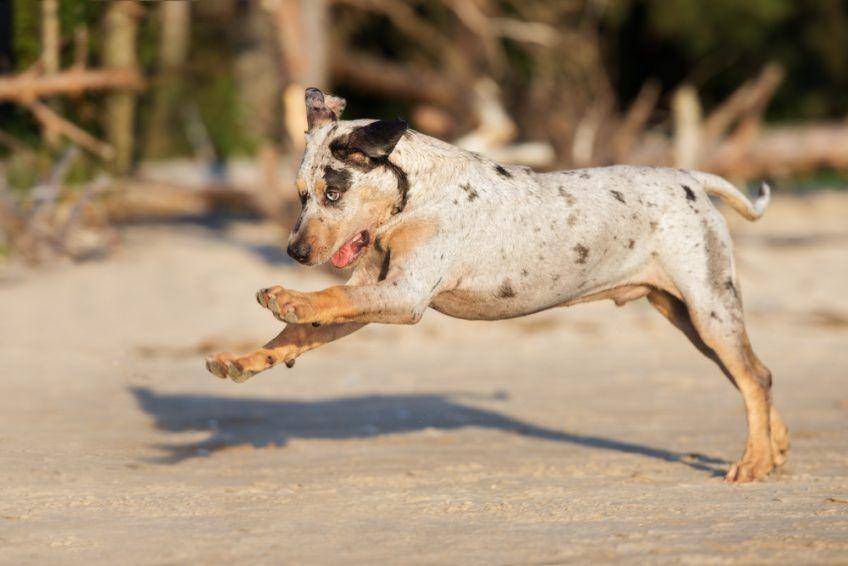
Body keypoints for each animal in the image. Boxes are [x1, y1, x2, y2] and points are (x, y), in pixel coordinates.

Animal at [207, 87, 788, 484]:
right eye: (300, 194)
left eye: (333, 192)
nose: (295, 253)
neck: (414, 198)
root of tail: (689, 177)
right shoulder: (375, 293)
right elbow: (300, 332)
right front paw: (242, 360)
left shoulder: (403, 296)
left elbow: (328, 298)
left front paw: (287, 297)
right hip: (686, 316)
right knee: (754, 374)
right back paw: (775, 447)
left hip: (708, 308)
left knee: (753, 377)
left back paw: (754, 463)